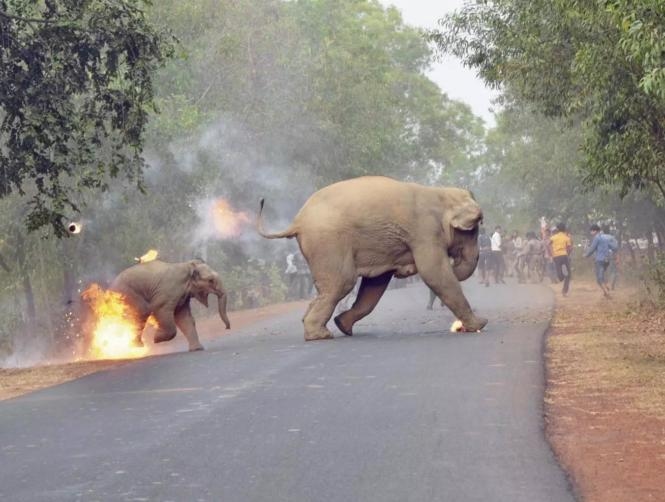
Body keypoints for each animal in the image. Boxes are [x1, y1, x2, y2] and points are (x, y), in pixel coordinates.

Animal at [257, 176, 487, 341]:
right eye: (473, 231)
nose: (455, 262)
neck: (440, 193)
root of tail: (297, 221)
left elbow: (375, 284)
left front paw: (343, 324)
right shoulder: (425, 231)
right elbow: (434, 272)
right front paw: (480, 325)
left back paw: (327, 328)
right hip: (328, 242)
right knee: (342, 283)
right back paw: (320, 336)